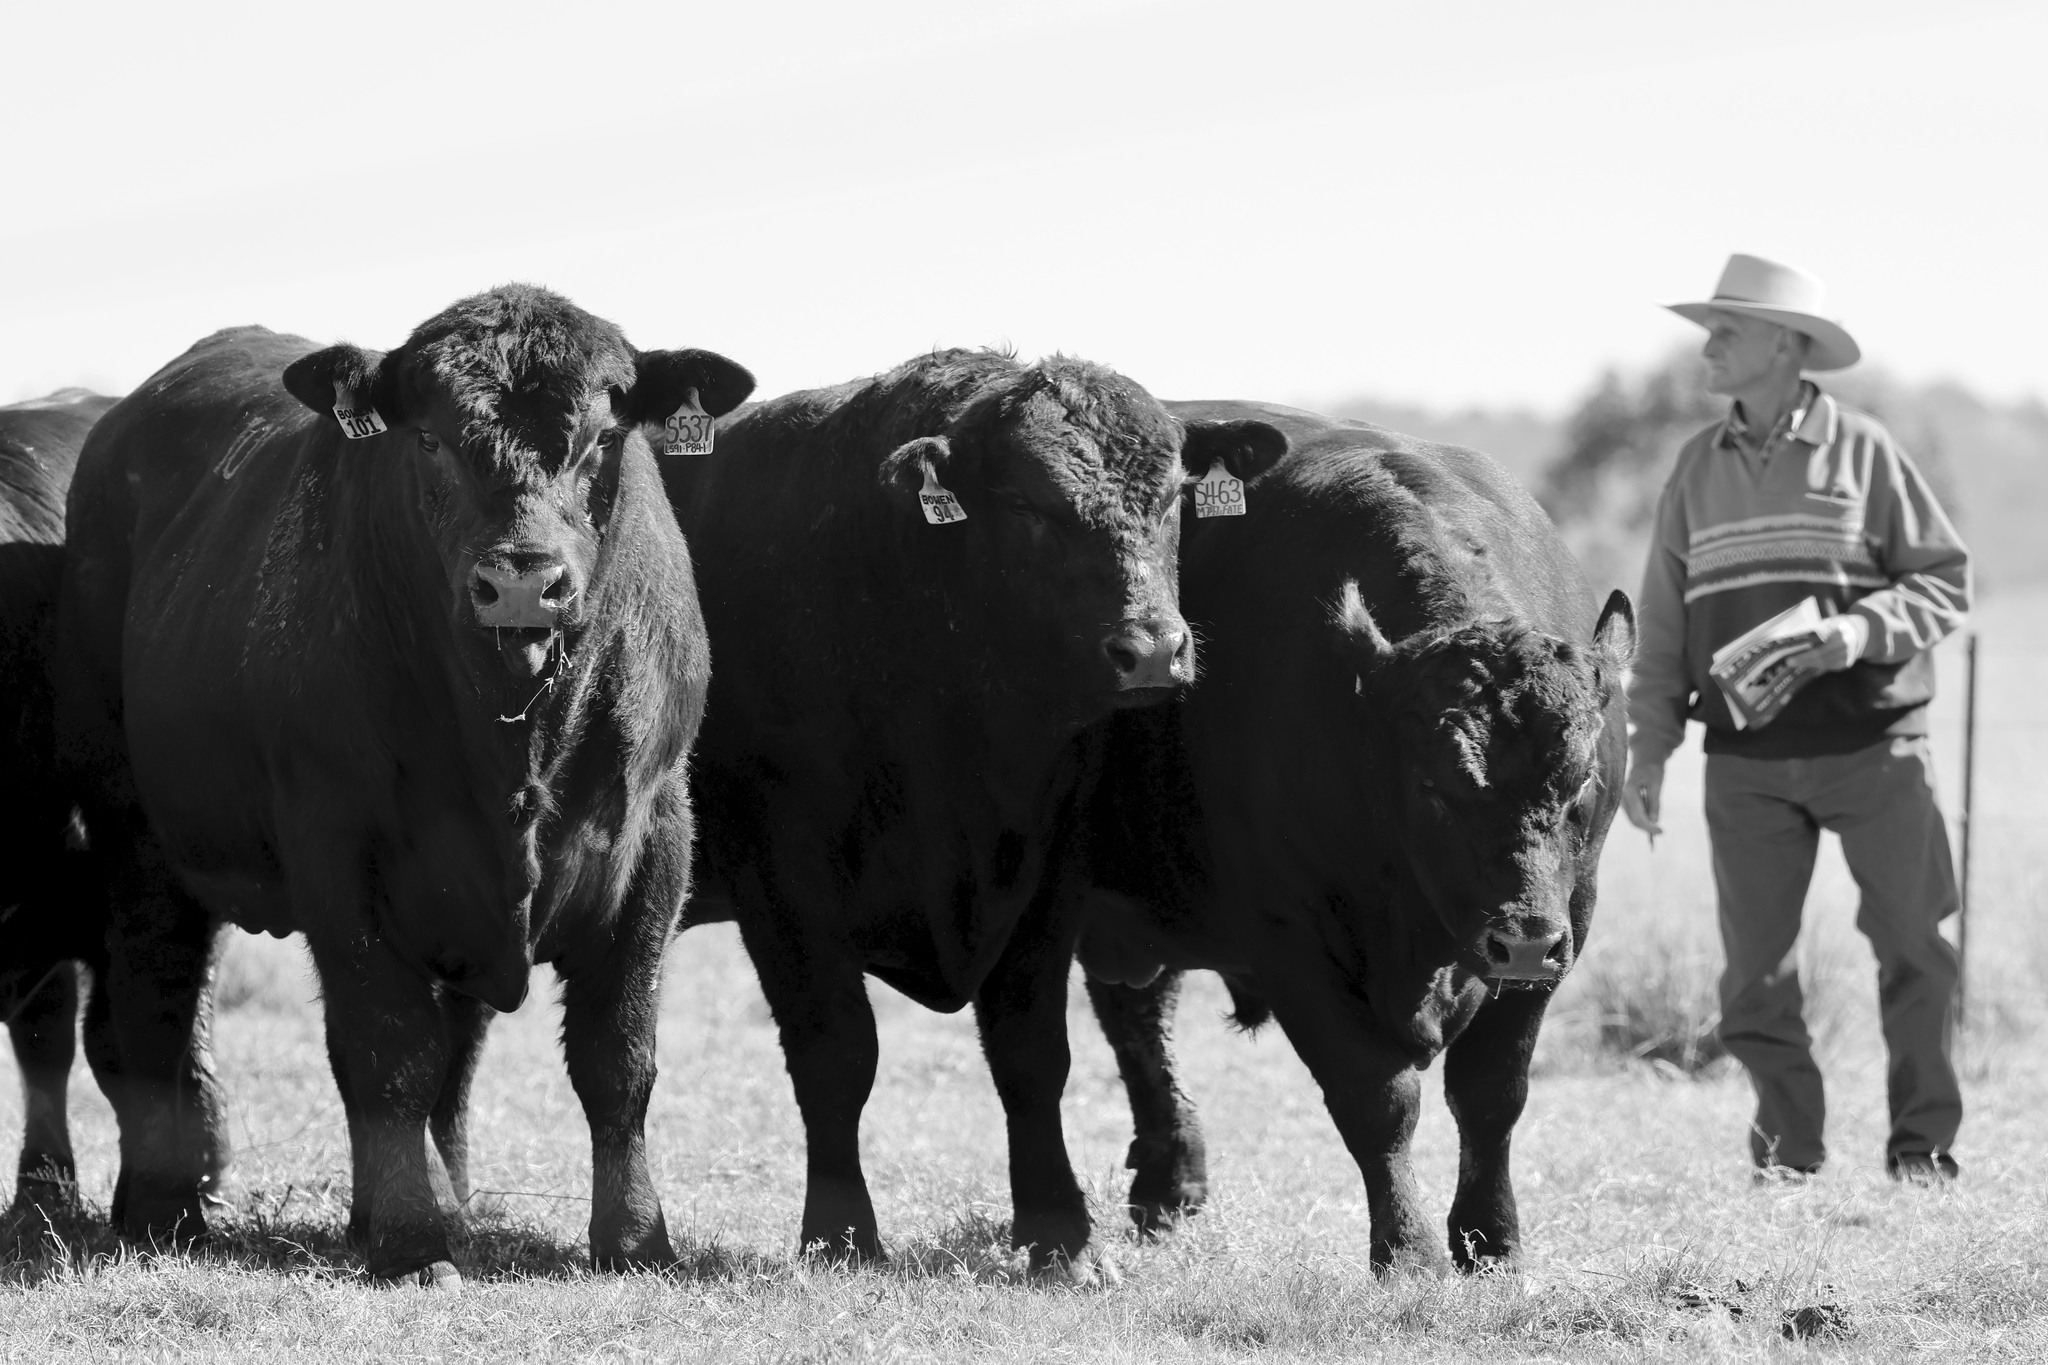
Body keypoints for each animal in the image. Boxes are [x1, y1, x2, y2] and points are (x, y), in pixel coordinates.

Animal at [52, 286, 752, 1286]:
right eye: (429, 439)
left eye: (603, 436)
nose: (521, 582)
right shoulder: (337, 844)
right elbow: (387, 1050)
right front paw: (414, 1238)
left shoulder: (656, 831)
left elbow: (616, 1055)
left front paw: (634, 1238)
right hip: (137, 827)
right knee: (156, 1002)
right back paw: (165, 1210)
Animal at [664, 350, 1286, 1277]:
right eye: (1026, 503)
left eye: (1174, 493)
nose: (1151, 649)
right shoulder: (781, 877)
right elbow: (836, 1051)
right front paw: (842, 1233)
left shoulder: (1048, 868)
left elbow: (1032, 1054)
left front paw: (1061, 1234)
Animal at [1062, 401, 1634, 1274]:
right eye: (1434, 784)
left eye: (1582, 783)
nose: (1522, 939)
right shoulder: (1291, 938)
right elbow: (1378, 1098)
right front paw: (1407, 1247)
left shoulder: (1572, 916)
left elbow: (1493, 1092)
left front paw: (1491, 1237)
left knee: (1136, 1010)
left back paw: (1169, 1180)